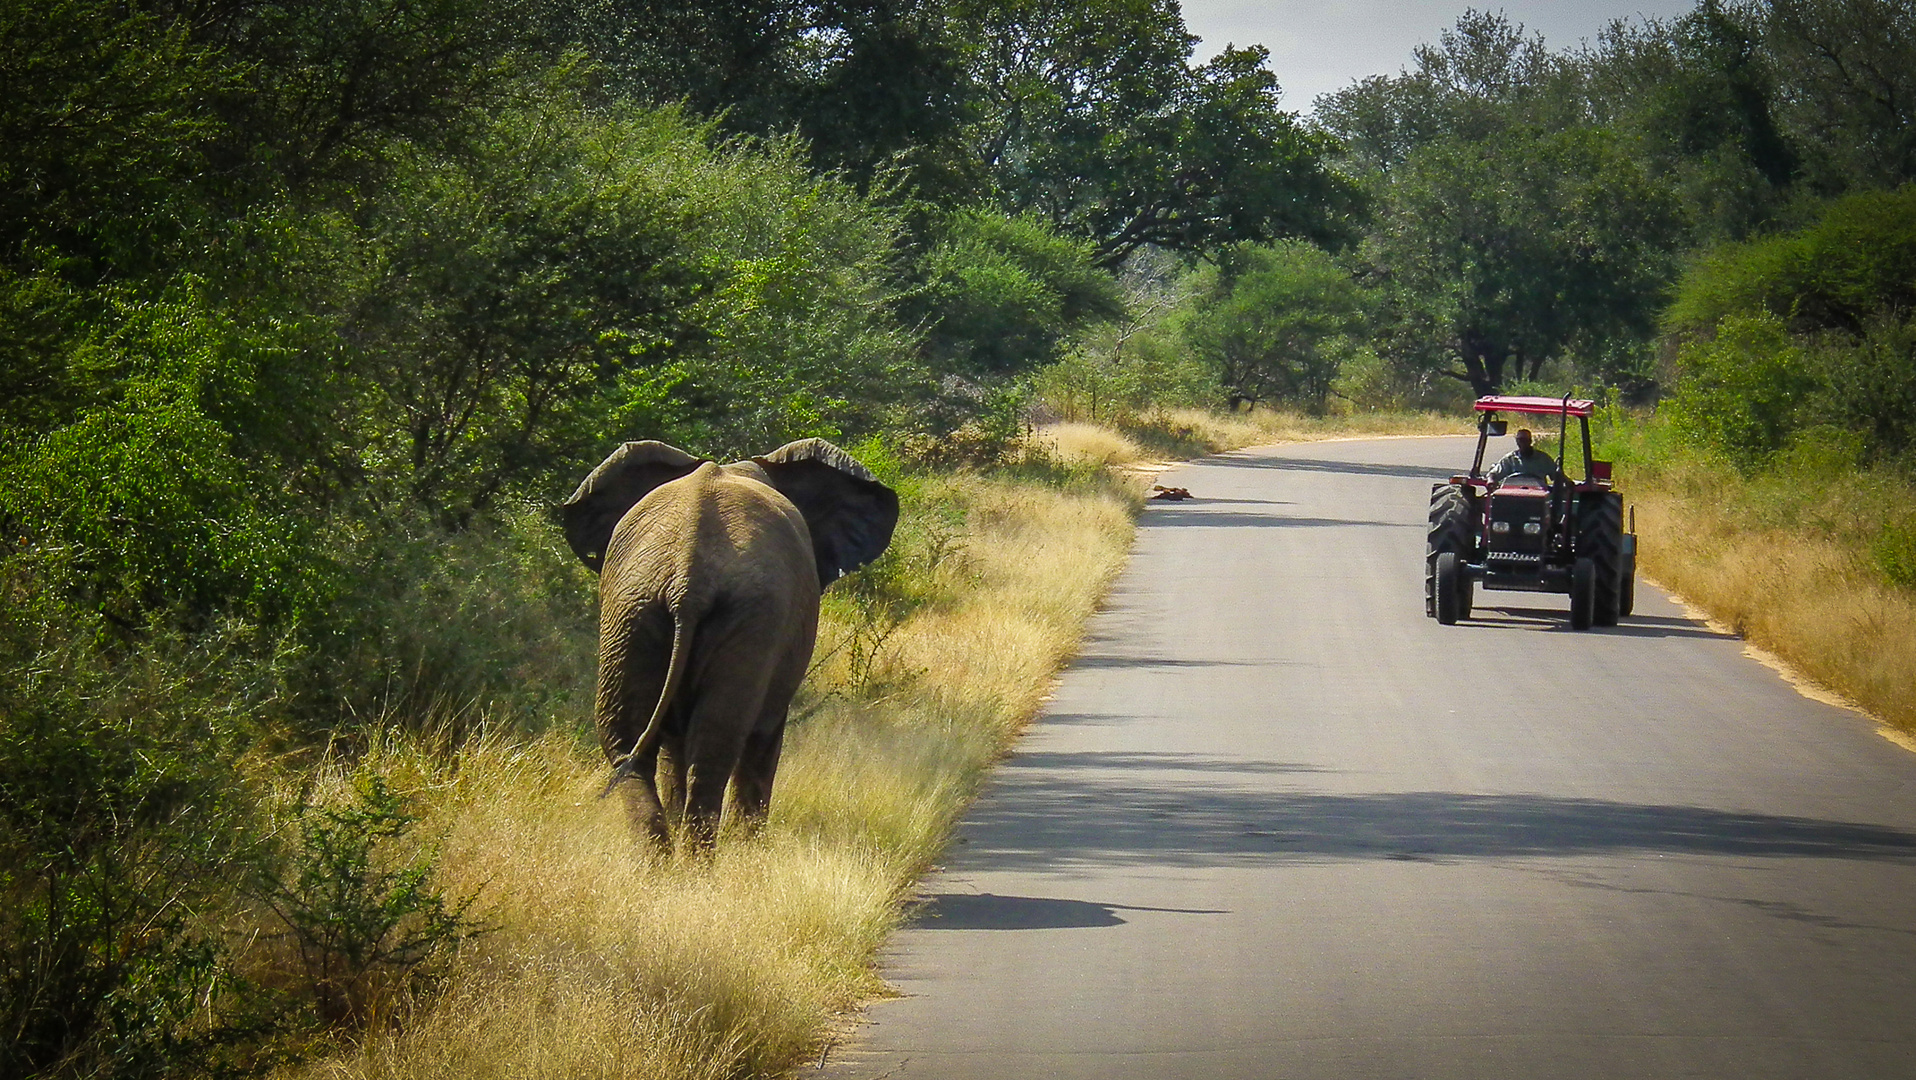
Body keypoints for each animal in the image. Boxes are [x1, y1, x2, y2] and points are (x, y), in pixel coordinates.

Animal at [559, 434, 896, 846]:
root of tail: (688, 576)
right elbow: (765, 731)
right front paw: (749, 844)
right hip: (740, 613)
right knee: (713, 747)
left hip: (633, 608)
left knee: (628, 741)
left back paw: (662, 856)